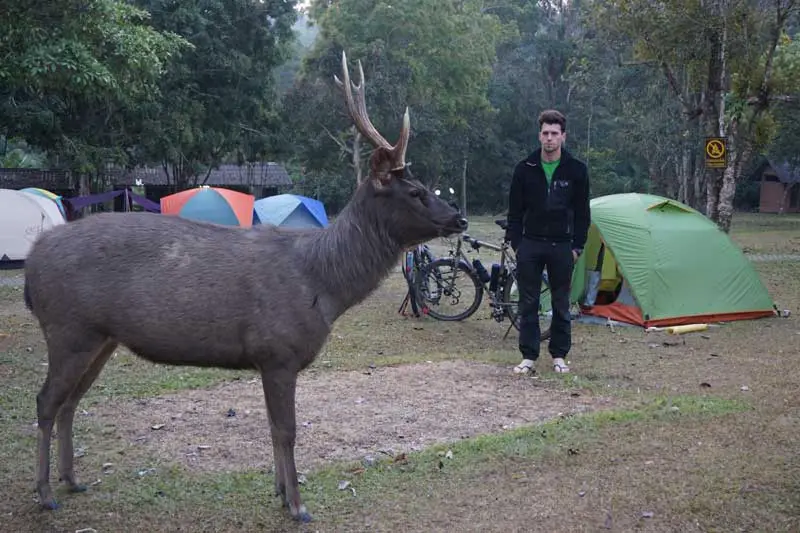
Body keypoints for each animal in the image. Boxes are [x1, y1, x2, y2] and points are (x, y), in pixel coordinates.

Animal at [25, 52, 466, 520]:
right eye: (415, 191)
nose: (460, 219)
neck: (322, 285)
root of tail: (33, 262)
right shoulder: (278, 351)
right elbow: (286, 430)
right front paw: (297, 505)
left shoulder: (267, 359)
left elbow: (273, 429)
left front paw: (279, 491)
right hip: (69, 328)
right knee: (46, 400)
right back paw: (46, 492)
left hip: (101, 337)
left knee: (71, 400)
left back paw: (72, 480)